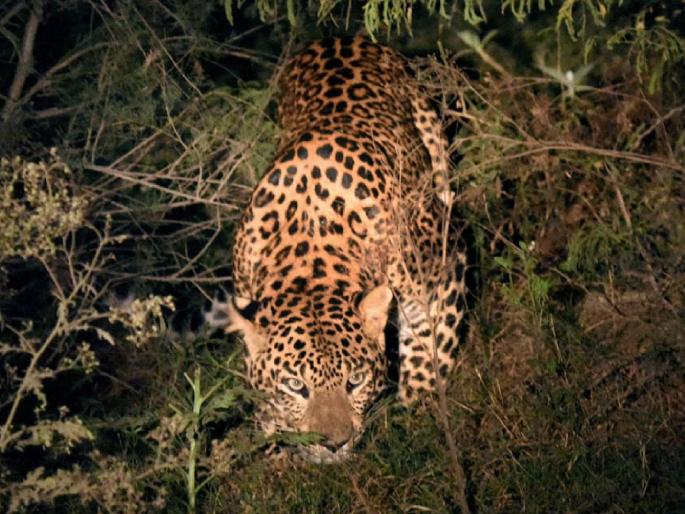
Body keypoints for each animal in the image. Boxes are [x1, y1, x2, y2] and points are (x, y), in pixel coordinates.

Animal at [207, 36, 469, 463]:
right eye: (295, 385)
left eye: (356, 380)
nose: (334, 444)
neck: (312, 250)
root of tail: (337, 38)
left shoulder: (445, 270)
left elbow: (428, 357)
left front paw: (417, 418)